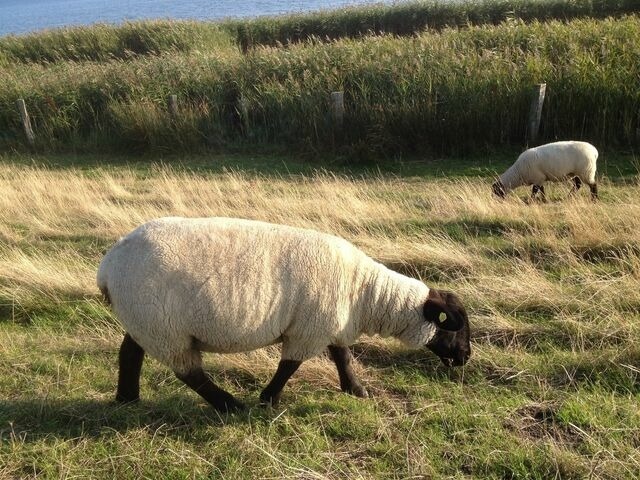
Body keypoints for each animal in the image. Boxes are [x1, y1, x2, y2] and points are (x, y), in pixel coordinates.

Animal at [97, 218, 472, 412]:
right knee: (188, 371)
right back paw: (230, 405)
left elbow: (342, 356)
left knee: (130, 353)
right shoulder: (309, 329)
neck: (364, 293)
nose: (466, 357)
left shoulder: (327, 324)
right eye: (454, 328)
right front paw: (269, 399)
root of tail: (107, 267)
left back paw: (127, 398)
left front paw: (356, 390)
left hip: (147, 320)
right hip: (164, 326)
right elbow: (290, 365)